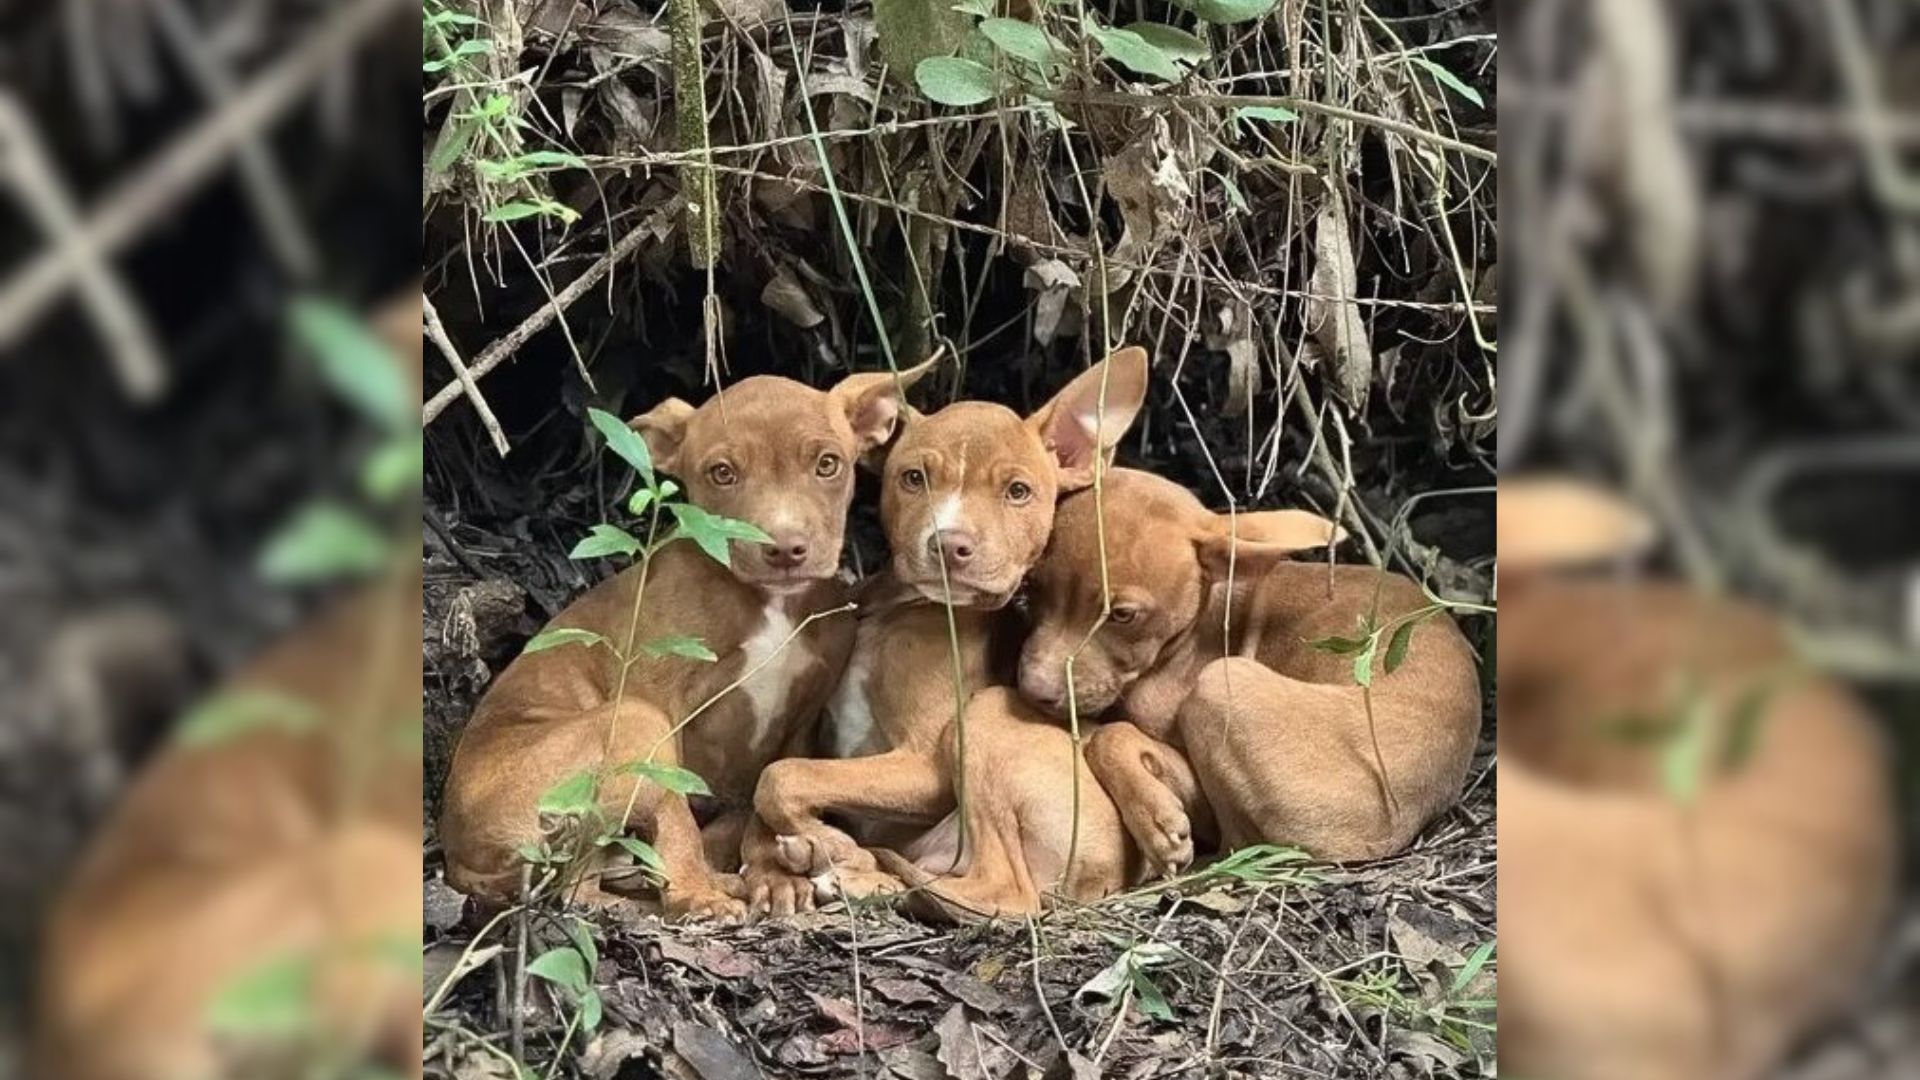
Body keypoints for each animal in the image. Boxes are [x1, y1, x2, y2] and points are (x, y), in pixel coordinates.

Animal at [443, 363, 936, 914]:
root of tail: (452, 857)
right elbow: (678, 808)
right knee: (580, 887)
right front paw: (700, 891)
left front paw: (773, 872)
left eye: (827, 464)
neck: (772, 603)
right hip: (630, 725)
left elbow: (769, 792)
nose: (786, 549)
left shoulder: (803, 715)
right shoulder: (659, 698)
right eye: (722, 473)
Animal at [1021, 466, 1482, 868]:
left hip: (1222, 686)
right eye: (1033, 587)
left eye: (1122, 615)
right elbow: (1114, 736)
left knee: (1233, 843)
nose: (1032, 690)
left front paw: (1155, 821)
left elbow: (1110, 736)